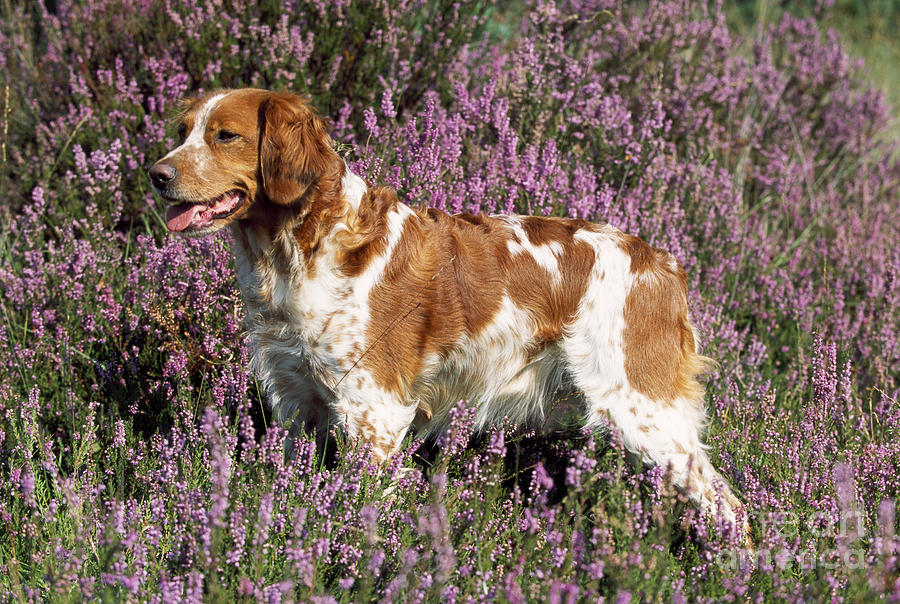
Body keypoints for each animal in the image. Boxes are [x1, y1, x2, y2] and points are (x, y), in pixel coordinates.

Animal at [149, 88, 744, 536]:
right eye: (182, 131)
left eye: (226, 135)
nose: (156, 174)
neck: (299, 248)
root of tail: (662, 261)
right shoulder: (300, 400)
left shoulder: (375, 408)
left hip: (644, 408)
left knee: (730, 507)